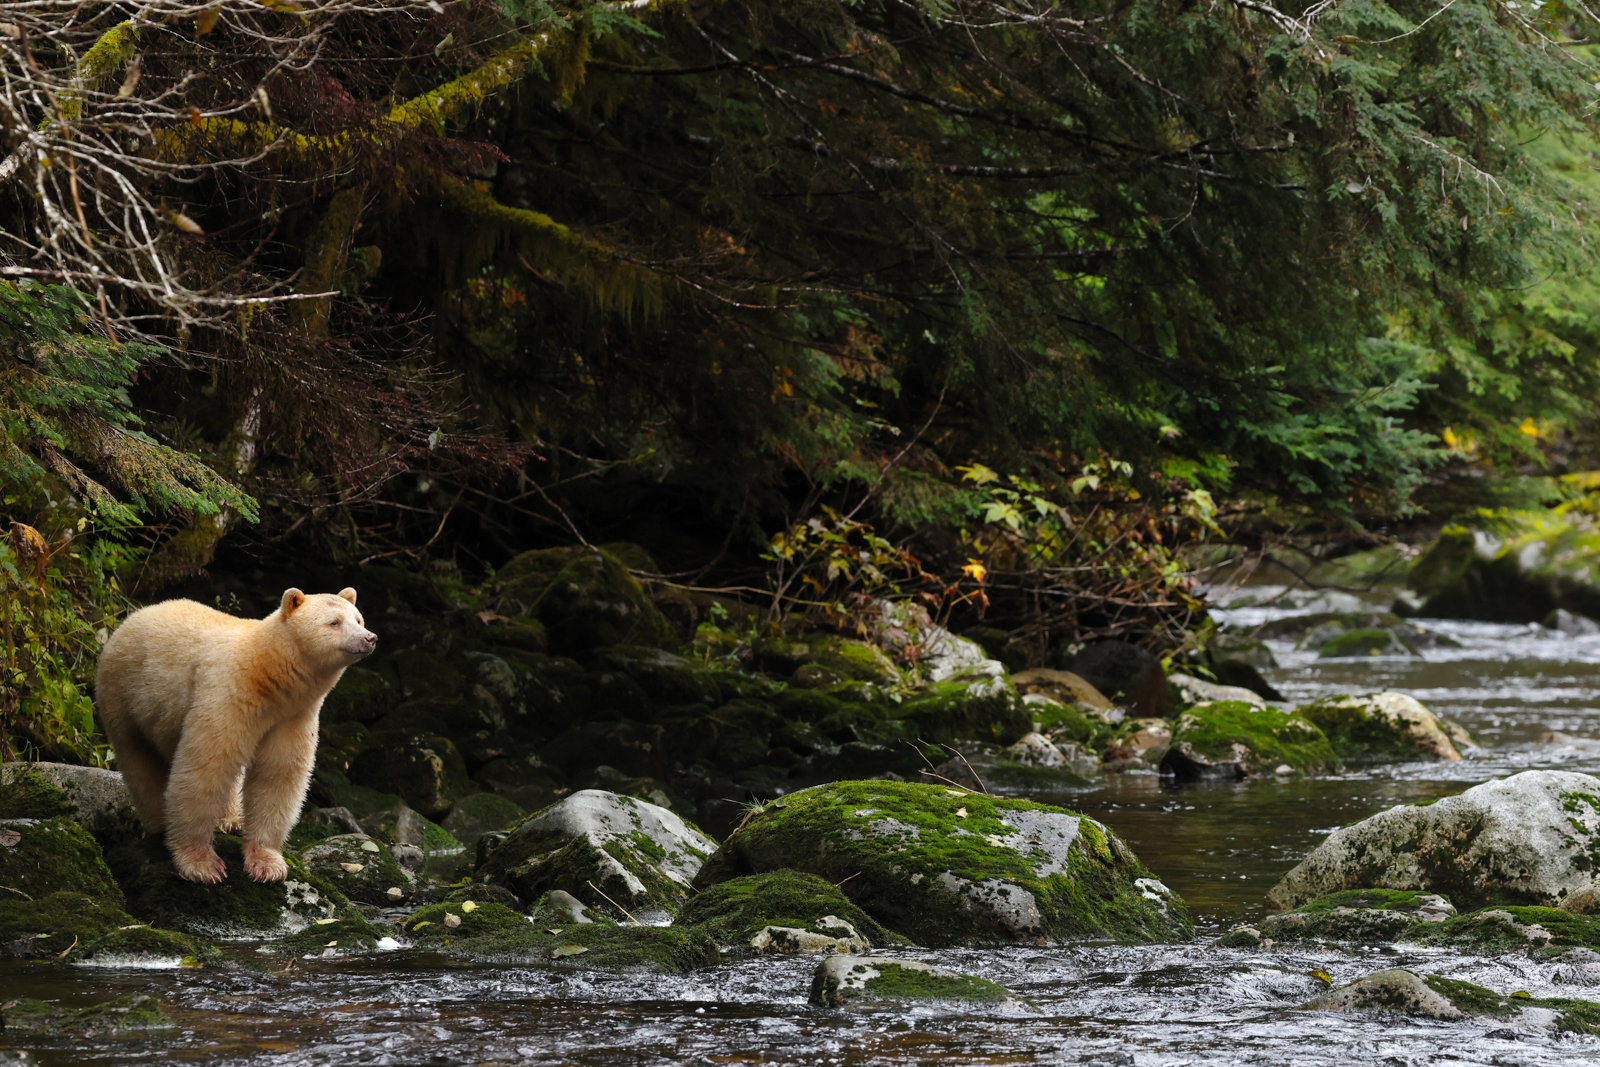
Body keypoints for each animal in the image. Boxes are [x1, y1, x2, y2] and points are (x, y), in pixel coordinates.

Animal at [95, 587, 377, 884]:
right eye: (334, 622)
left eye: (358, 619)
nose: (369, 637)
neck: (269, 673)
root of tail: (133, 616)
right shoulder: (229, 693)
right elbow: (207, 766)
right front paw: (202, 864)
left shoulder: (292, 716)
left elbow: (277, 773)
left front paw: (267, 864)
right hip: (124, 695)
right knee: (139, 761)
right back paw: (159, 824)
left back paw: (232, 819)